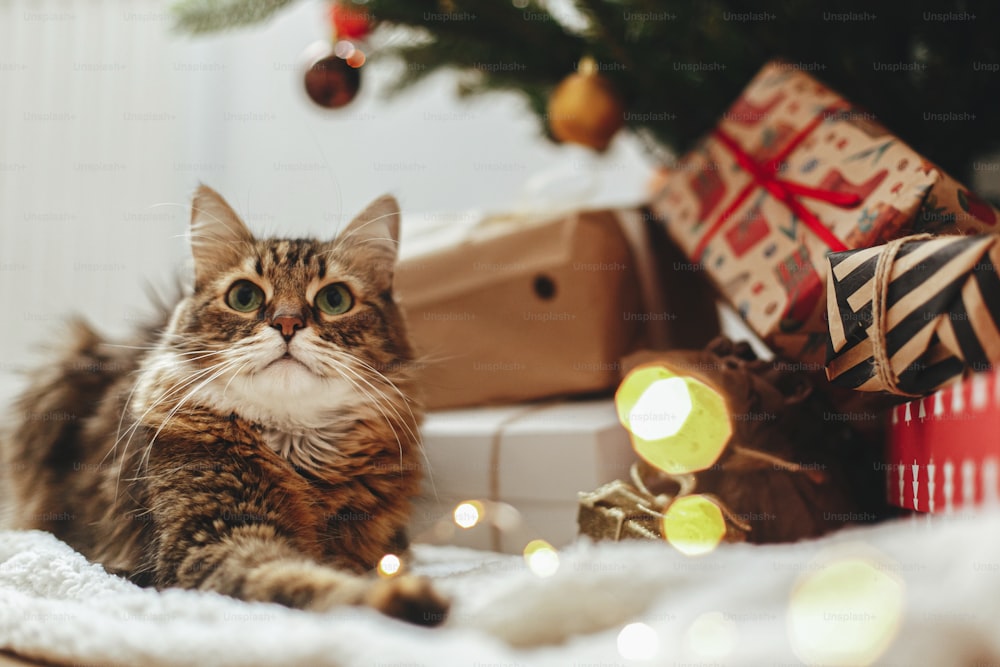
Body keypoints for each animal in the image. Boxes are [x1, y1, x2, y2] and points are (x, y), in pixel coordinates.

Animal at [0, 187, 446, 628]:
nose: (287, 323)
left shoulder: (377, 544)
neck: (295, 449)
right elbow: (298, 578)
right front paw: (398, 598)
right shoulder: (208, 538)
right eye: (244, 296)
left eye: (334, 299)